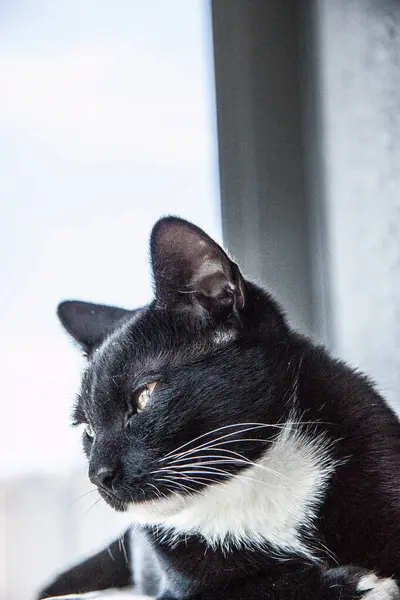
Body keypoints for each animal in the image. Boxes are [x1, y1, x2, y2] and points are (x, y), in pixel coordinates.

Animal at [38, 217, 400, 600]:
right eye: (88, 429)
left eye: (144, 396)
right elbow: (255, 586)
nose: (98, 475)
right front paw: (358, 586)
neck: (258, 481)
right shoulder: (180, 584)